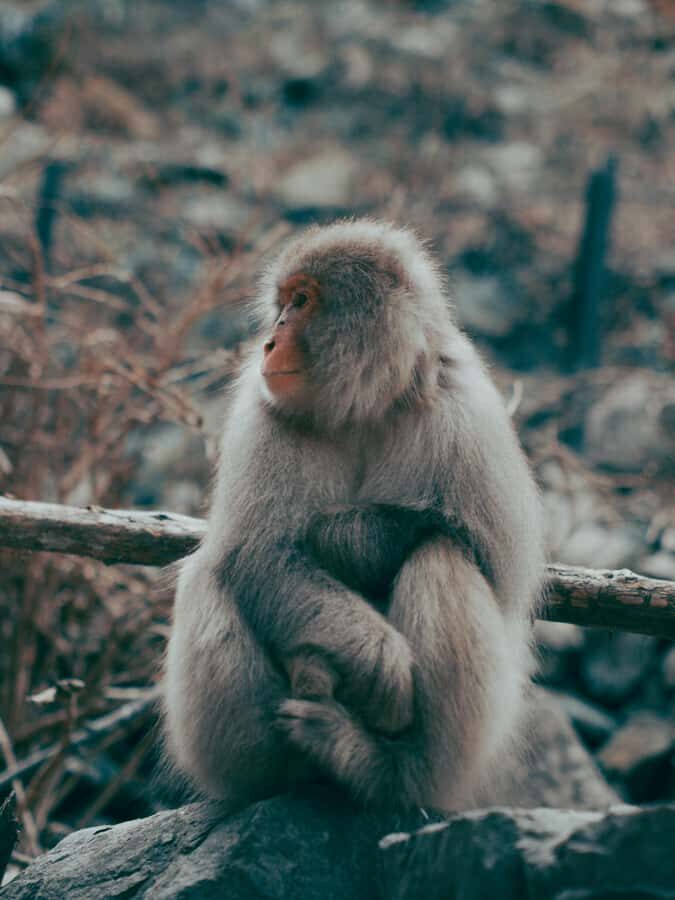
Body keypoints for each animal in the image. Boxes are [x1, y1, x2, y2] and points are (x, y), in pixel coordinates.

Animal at [163, 219, 544, 814]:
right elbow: (260, 556)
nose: (269, 341)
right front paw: (383, 667)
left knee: (443, 556)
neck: (366, 404)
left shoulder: (466, 412)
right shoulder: (261, 411)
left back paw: (384, 770)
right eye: (281, 304)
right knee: (211, 572)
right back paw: (285, 771)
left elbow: (490, 561)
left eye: (301, 301)